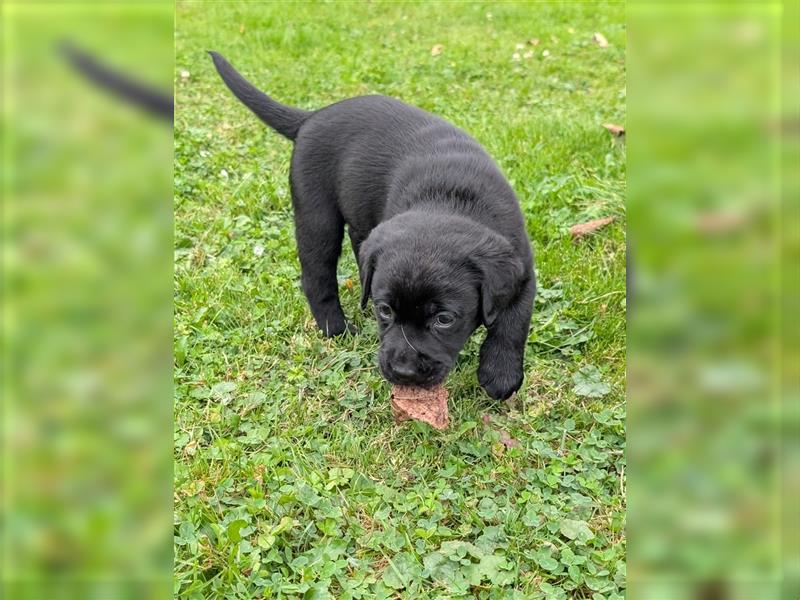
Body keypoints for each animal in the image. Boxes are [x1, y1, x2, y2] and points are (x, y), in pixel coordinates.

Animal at [212, 51, 536, 398]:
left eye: (444, 319)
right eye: (386, 311)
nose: (404, 371)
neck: (450, 199)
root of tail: (312, 117)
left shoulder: (521, 268)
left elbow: (514, 321)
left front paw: (500, 373)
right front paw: (501, 376)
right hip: (317, 216)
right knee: (317, 276)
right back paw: (337, 328)